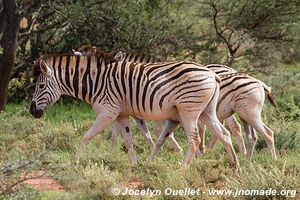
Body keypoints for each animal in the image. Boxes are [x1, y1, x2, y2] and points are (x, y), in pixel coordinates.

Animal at [29, 52, 240, 172]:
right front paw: (134, 165)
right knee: (225, 135)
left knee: (195, 140)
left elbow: (86, 137)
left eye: (40, 86)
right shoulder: (121, 114)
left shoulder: (107, 112)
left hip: (189, 111)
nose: (32, 112)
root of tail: (212, 74)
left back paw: (183, 168)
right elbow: (128, 140)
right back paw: (235, 168)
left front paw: (75, 161)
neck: (95, 83)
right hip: (207, 112)